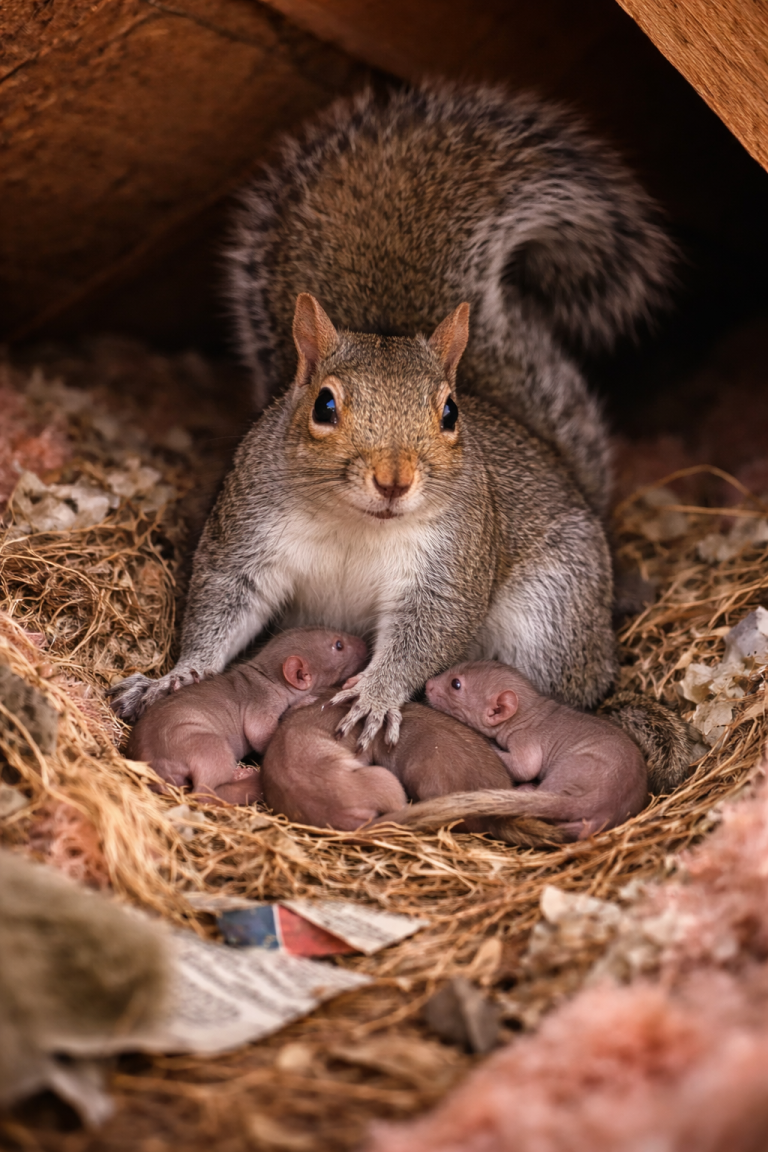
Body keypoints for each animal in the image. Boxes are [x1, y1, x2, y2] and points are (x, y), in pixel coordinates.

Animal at [109, 81, 693, 792]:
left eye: (450, 414)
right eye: (323, 405)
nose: (394, 480)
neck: (356, 522)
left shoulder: (452, 560)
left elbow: (428, 631)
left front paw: (377, 694)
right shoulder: (247, 532)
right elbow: (221, 605)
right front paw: (178, 675)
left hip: (551, 616)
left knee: (567, 688)